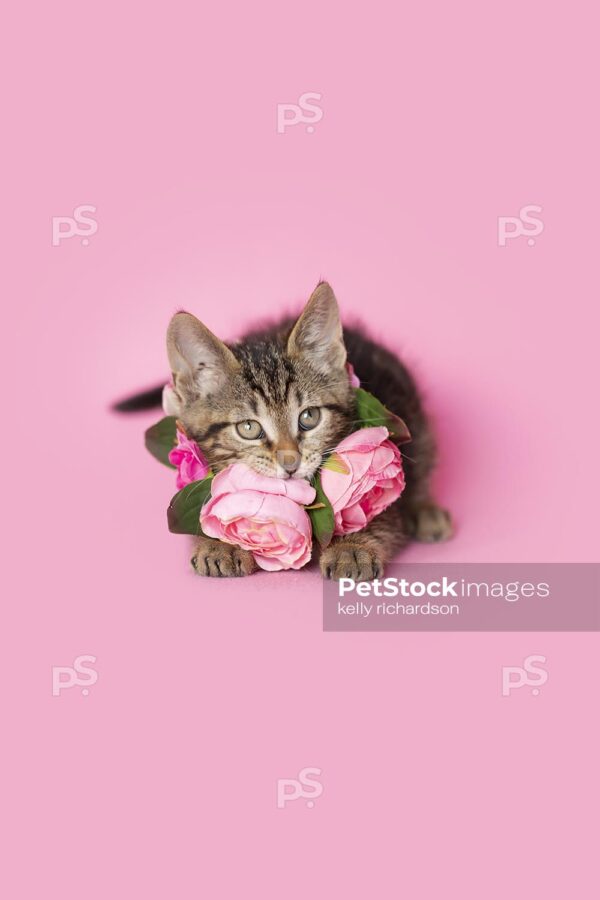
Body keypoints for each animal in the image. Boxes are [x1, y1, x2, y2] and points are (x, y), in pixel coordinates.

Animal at [120, 284, 450, 584]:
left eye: (309, 417)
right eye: (249, 428)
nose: (291, 462)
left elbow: (380, 516)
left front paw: (351, 548)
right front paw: (220, 545)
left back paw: (425, 512)